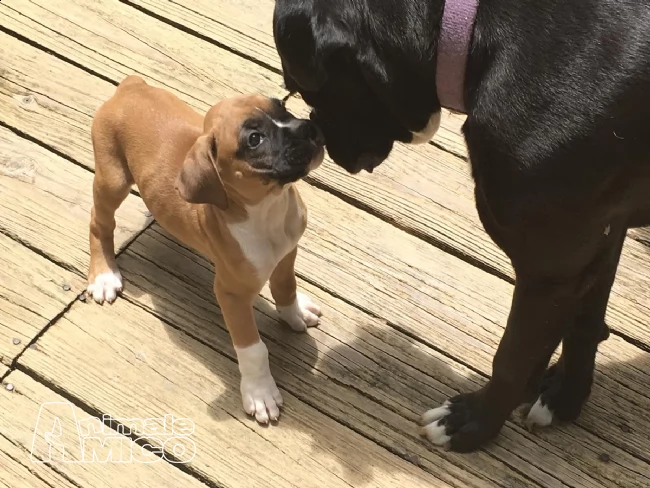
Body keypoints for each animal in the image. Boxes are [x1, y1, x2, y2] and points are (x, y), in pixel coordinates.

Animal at [87, 76, 324, 424]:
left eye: (282, 106)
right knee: (99, 222)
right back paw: (103, 275)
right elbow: (253, 349)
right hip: (112, 179)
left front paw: (294, 314)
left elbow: (285, 288)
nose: (309, 127)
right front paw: (260, 392)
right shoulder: (231, 294)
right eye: (254, 139)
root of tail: (131, 86)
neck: (268, 209)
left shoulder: (286, 255)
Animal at [270, 0, 648, 452]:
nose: (319, 136)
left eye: (300, 87)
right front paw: (564, 397)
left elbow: (512, 357)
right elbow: (582, 322)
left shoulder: (551, 267)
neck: (468, 35)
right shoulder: (597, 238)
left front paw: (473, 423)